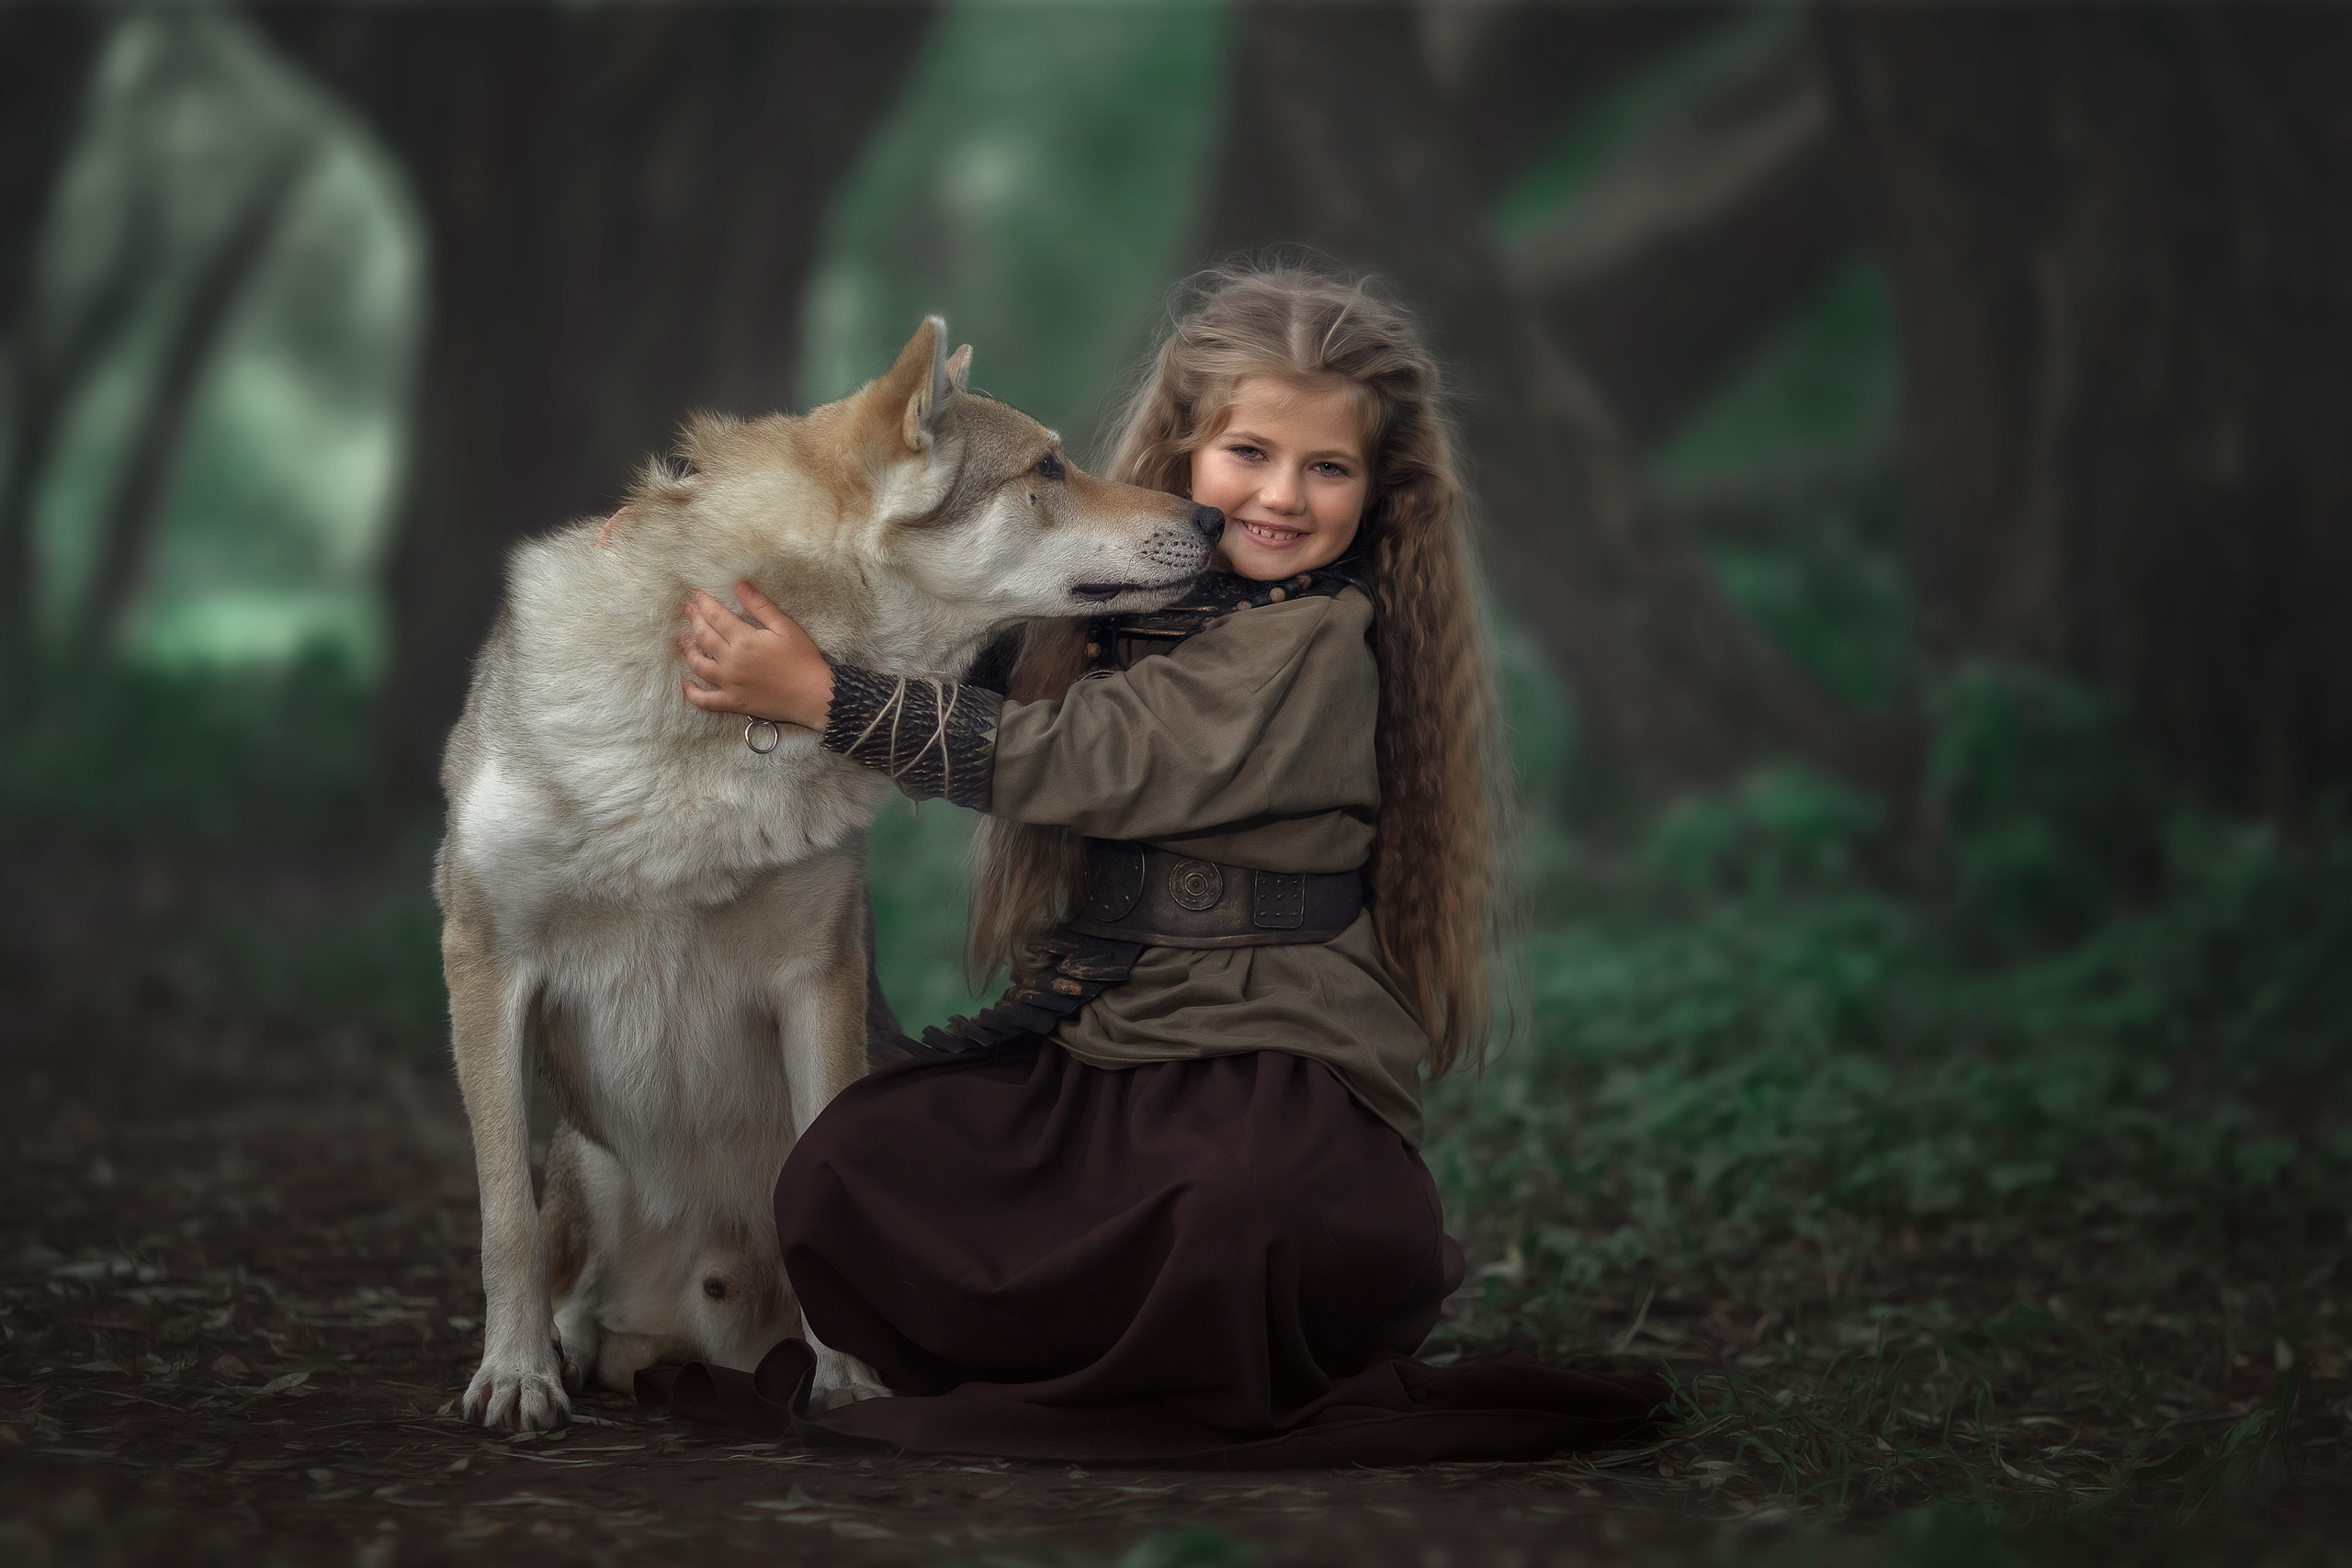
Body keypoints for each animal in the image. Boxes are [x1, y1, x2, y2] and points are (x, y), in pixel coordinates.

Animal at [436, 318, 1220, 1430]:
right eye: (1048, 468)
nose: (1211, 513)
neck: (706, 737)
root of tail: (716, 1328)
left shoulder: (820, 974)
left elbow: (817, 1170)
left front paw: (848, 1380)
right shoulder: (484, 960)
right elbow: (502, 1217)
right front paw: (514, 1378)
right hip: (587, 1163)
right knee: (572, 1279)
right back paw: (583, 1354)